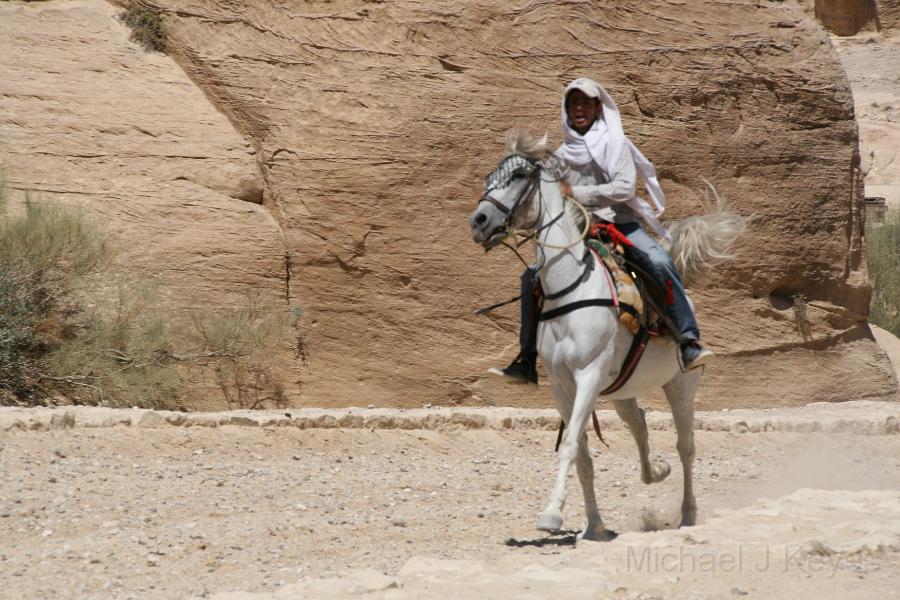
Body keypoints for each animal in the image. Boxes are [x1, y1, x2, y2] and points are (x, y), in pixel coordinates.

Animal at [464, 129, 744, 540]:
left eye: (518, 176)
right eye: (488, 177)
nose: (480, 221)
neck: (570, 287)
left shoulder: (589, 374)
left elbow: (569, 447)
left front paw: (551, 514)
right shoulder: (562, 385)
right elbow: (581, 454)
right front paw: (594, 526)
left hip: (680, 384)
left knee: (686, 446)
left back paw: (688, 513)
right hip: (620, 389)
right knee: (639, 422)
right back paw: (655, 471)